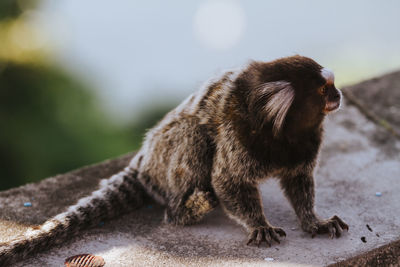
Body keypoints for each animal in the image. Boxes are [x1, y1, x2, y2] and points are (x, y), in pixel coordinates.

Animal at [0, 56, 346, 266]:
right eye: (323, 89)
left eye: (331, 86)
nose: (339, 95)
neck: (282, 132)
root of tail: (142, 162)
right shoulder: (238, 133)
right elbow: (227, 180)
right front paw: (259, 224)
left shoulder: (306, 145)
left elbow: (298, 182)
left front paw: (313, 221)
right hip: (164, 159)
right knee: (193, 136)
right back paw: (190, 208)